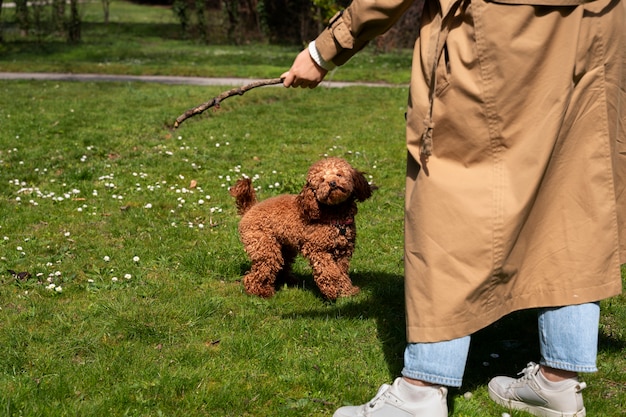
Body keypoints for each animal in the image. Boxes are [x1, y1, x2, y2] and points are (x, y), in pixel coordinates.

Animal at [230, 157, 372, 300]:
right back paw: (260, 291)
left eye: (339, 174)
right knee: (257, 273)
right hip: (264, 247)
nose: (332, 183)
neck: (335, 214)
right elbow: (329, 271)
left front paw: (347, 292)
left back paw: (287, 281)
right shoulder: (317, 250)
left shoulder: (342, 251)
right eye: (321, 180)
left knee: (282, 265)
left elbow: (342, 272)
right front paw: (331, 291)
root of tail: (250, 208)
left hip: (284, 247)